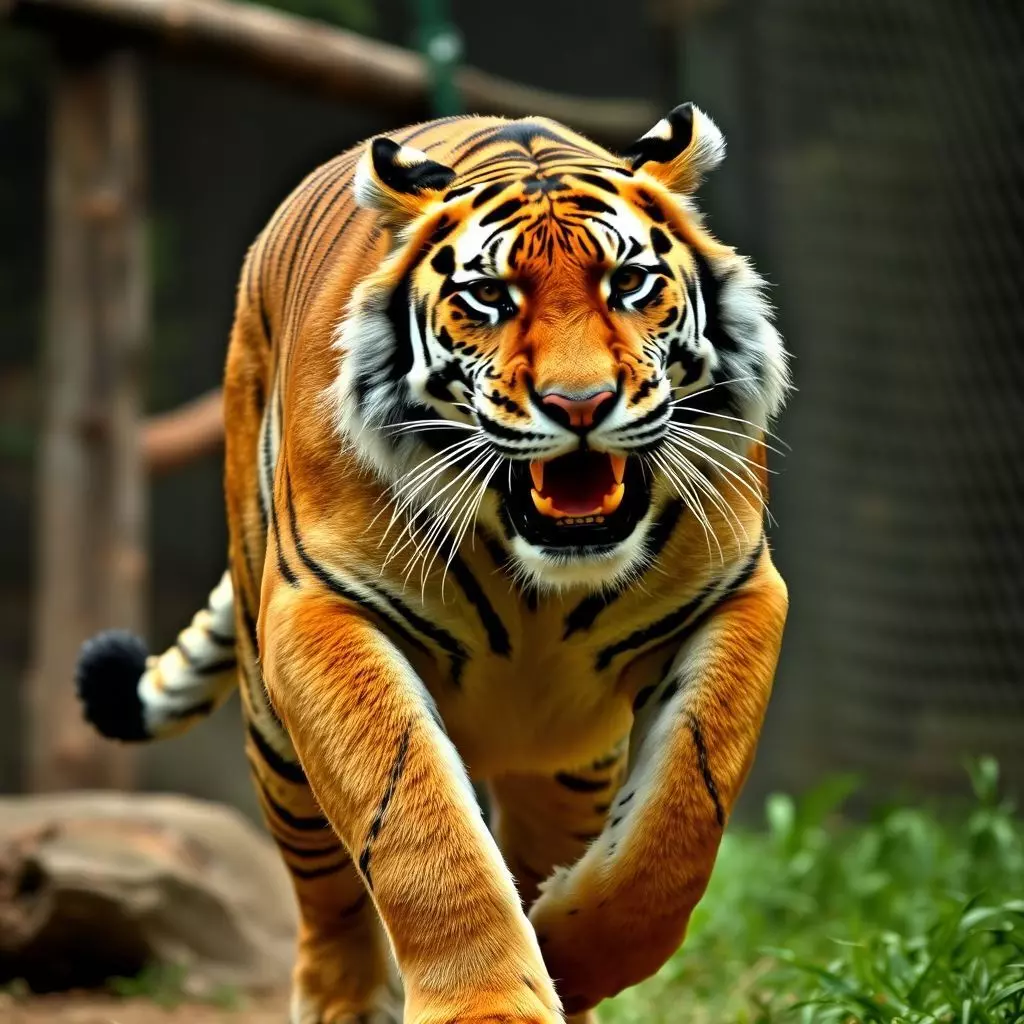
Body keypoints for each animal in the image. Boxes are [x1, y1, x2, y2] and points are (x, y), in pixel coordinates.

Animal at [76, 103, 790, 1024]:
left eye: (629, 285)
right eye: (490, 296)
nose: (581, 404)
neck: (541, 579)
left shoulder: (740, 594)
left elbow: (678, 820)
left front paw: (566, 951)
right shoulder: (324, 610)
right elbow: (417, 825)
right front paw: (492, 1005)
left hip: (571, 762)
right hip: (275, 730)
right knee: (327, 895)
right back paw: (344, 1003)